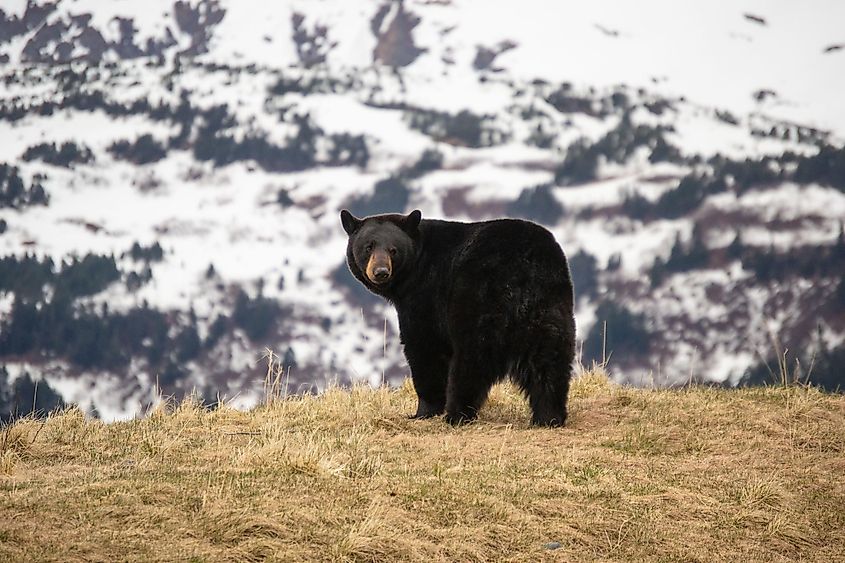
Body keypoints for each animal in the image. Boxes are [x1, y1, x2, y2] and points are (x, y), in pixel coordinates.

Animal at [342, 210, 572, 428]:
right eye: (368, 247)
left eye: (393, 250)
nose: (381, 272)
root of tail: (524, 268)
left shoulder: (425, 297)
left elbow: (424, 348)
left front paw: (423, 411)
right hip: (549, 308)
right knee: (550, 362)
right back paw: (549, 416)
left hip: (478, 299)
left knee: (470, 361)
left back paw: (456, 415)